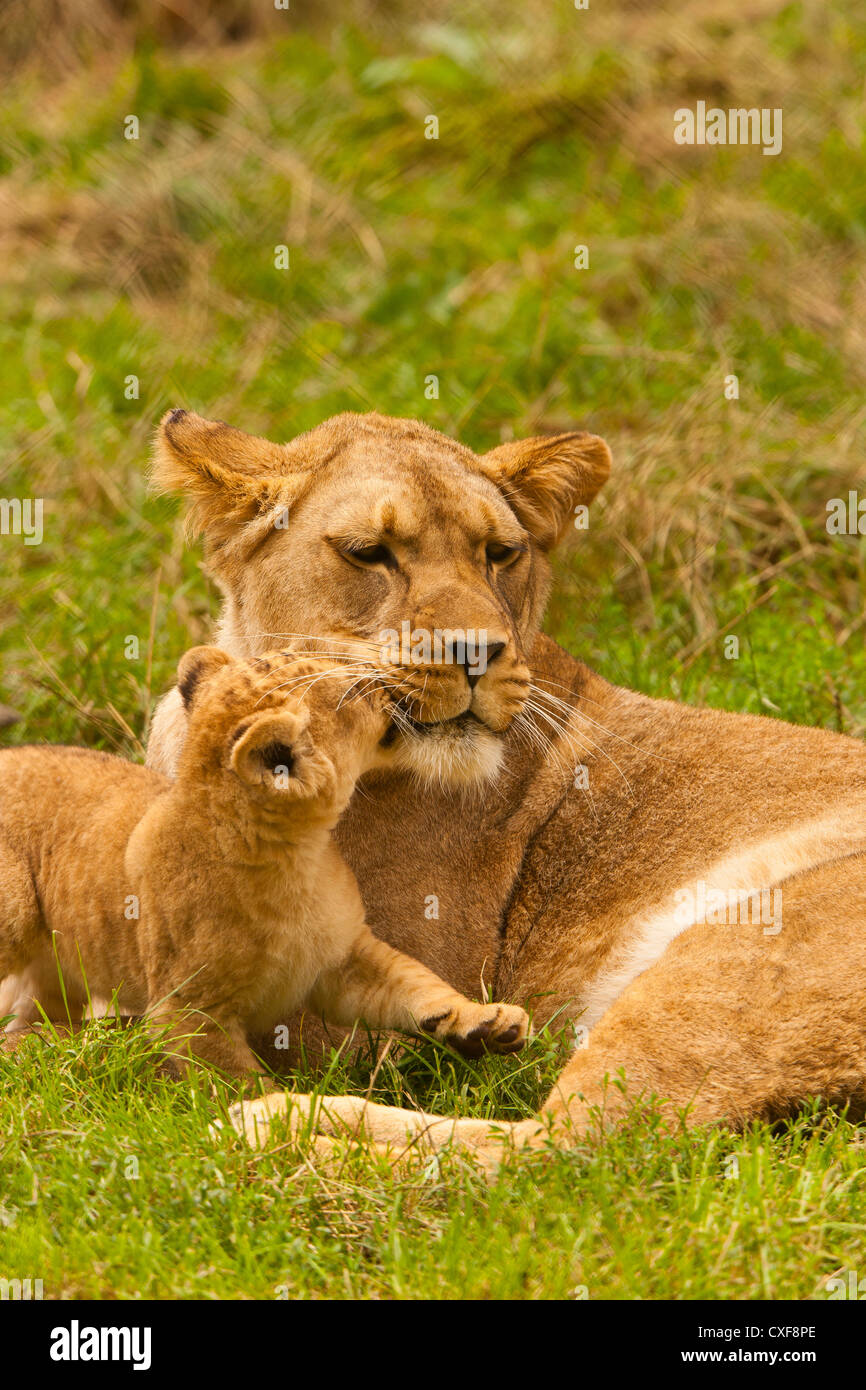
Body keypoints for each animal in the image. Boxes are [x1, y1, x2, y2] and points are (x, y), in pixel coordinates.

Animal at [0, 644, 527, 1074]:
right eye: (354, 690)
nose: (385, 679)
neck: (297, 859)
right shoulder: (186, 1011)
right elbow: (241, 1085)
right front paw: (283, 1120)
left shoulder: (343, 961)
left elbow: (416, 983)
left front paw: (483, 1021)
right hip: (16, 909)